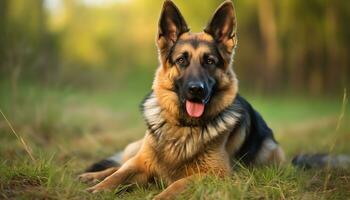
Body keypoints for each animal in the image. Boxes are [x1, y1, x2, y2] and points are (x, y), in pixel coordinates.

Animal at [79, 0, 284, 199]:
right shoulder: (143, 162)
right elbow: (119, 175)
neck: (184, 126)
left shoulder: (217, 174)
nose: (196, 90)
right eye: (181, 60)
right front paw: (98, 188)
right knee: (120, 165)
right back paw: (91, 177)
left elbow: (177, 184)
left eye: (210, 61)